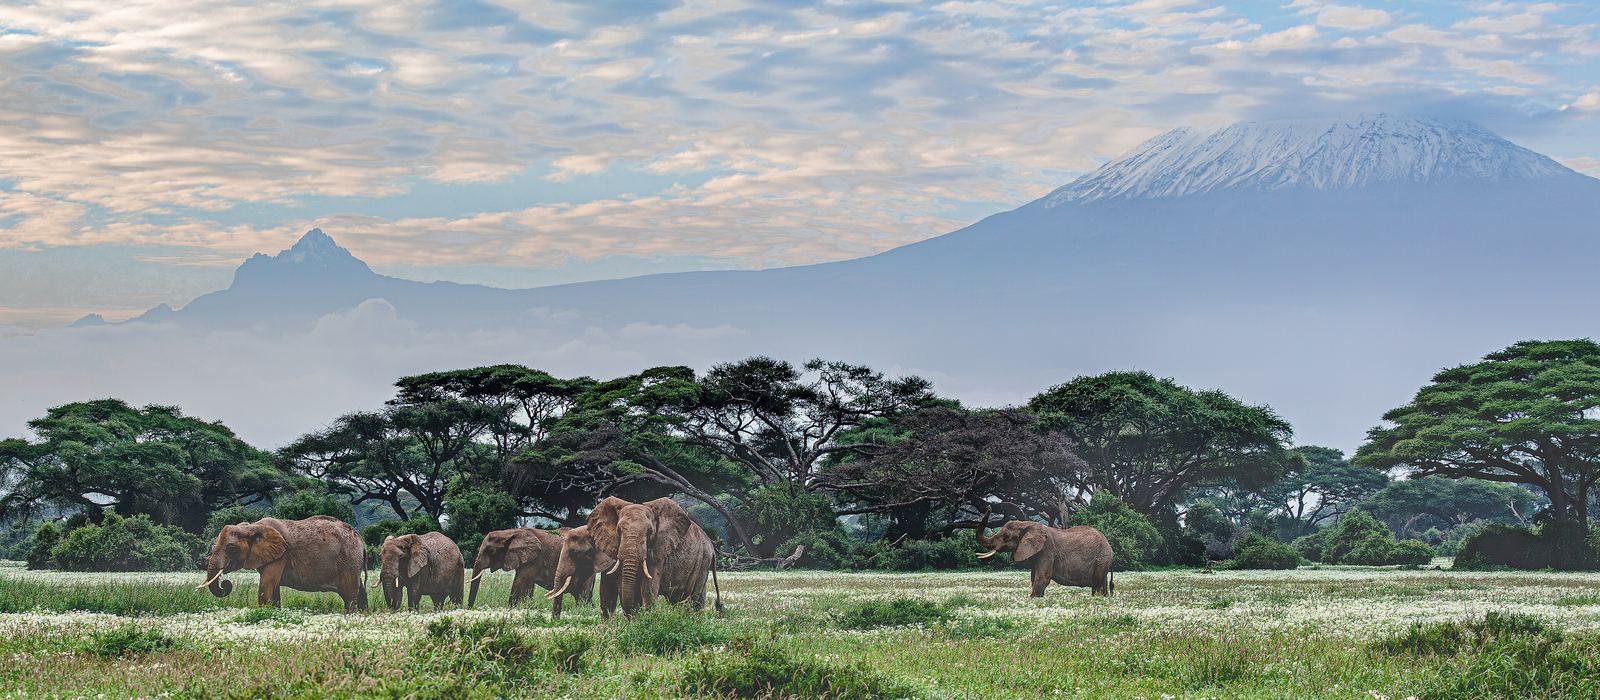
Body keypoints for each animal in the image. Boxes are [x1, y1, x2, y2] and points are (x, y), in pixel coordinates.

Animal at [198, 515, 367, 611]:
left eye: (231, 548)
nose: (225, 584)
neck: (252, 527)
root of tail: (361, 541)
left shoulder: (281, 555)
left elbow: (266, 584)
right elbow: (274, 587)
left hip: (349, 559)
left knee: (349, 594)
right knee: (360, 591)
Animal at [587, 496, 723, 617]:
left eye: (650, 532)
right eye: (619, 531)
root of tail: (712, 548)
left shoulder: (659, 549)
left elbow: (649, 587)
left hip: (702, 560)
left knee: (691, 596)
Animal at [973, 506, 1114, 597]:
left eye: (1006, 537)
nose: (990, 507)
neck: (1027, 524)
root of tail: (1109, 546)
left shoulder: (1047, 551)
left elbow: (1042, 577)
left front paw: (1032, 598)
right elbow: (1034, 577)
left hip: (1101, 558)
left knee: (1097, 582)